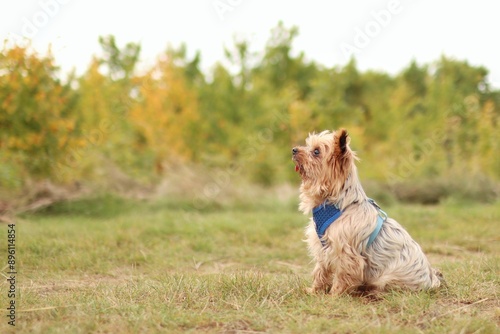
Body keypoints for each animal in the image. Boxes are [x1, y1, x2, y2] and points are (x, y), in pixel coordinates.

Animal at [292, 129, 444, 296]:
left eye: (316, 151)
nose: (294, 149)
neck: (338, 203)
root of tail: (431, 280)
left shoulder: (346, 253)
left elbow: (342, 276)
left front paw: (334, 295)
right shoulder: (323, 248)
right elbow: (320, 271)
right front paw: (314, 291)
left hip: (387, 279)